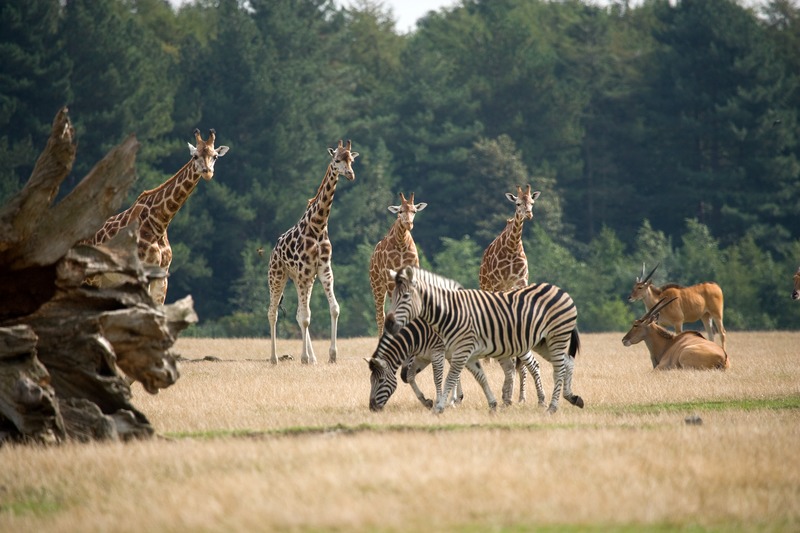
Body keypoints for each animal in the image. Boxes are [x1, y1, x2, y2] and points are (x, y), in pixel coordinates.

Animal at [89, 128, 230, 304]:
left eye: (215, 156)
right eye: (195, 156)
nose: (207, 173)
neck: (160, 222)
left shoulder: (162, 278)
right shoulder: (142, 274)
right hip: (92, 277)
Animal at [268, 139, 358, 364]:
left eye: (351, 159)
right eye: (337, 160)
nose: (350, 174)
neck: (318, 226)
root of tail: (273, 252)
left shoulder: (323, 269)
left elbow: (334, 309)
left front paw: (332, 356)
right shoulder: (304, 272)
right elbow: (306, 317)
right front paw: (303, 358)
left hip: (302, 278)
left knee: (298, 312)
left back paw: (313, 358)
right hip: (278, 276)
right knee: (273, 312)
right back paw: (274, 359)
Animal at [370, 189, 428, 334]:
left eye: (414, 211)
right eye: (400, 211)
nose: (409, 224)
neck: (401, 243)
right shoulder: (390, 278)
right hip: (377, 284)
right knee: (380, 314)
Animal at [384, 264, 584, 412]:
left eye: (406, 296)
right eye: (392, 297)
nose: (388, 325)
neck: (450, 312)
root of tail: (560, 289)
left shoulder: (458, 350)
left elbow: (449, 377)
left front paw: (441, 405)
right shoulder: (463, 352)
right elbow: (479, 377)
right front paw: (489, 404)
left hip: (555, 337)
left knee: (556, 368)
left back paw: (551, 406)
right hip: (544, 342)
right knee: (567, 361)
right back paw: (571, 397)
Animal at [478, 183, 540, 404]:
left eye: (532, 202)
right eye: (517, 203)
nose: (529, 214)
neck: (512, 248)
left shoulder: (520, 282)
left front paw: (520, 396)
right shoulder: (497, 284)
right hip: (485, 284)